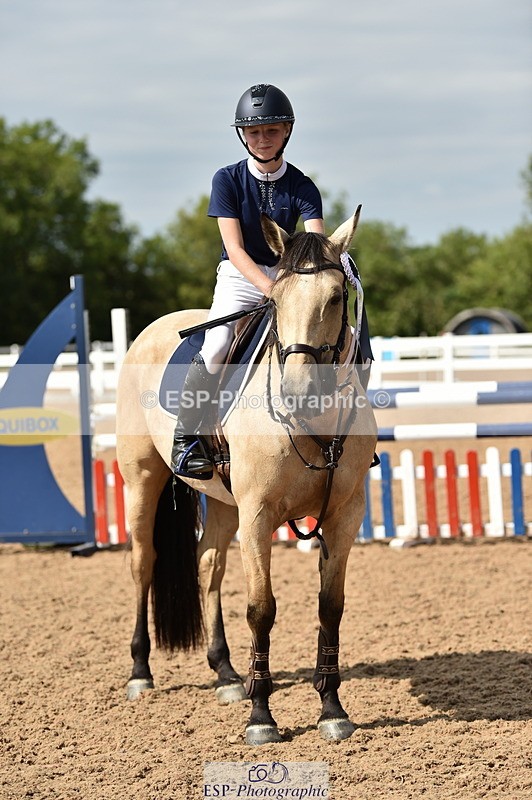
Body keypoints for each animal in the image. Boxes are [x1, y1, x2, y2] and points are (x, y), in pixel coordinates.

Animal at [116, 208, 377, 744]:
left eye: (336, 296)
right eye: (274, 300)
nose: (299, 392)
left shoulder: (345, 515)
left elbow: (331, 605)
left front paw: (332, 709)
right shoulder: (258, 516)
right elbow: (261, 608)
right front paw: (262, 718)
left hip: (221, 501)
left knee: (208, 566)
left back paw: (226, 673)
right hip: (141, 481)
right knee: (143, 563)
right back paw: (140, 673)